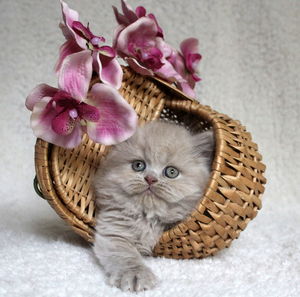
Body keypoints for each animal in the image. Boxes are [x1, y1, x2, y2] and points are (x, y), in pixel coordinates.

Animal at [92, 121, 214, 292]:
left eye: (171, 172)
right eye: (138, 165)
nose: (150, 179)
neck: (148, 216)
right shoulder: (114, 232)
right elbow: (128, 258)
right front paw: (135, 275)